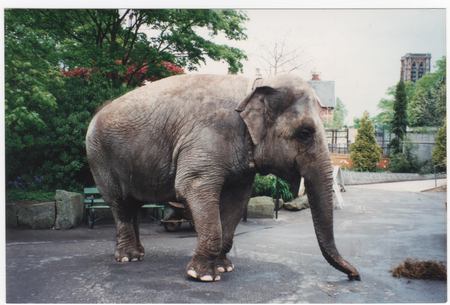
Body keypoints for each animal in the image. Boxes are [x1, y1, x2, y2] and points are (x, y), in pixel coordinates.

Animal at [86, 73, 360, 280]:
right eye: (304, 133)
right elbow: (192, 187)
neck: (254, 85)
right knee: (120, 203)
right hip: (99, 157)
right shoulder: (205, 140)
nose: (355, 276)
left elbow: (236, 201)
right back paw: (128, 258)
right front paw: (203, 276)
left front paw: (224, 268)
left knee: (133, 204)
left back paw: (138, 254)